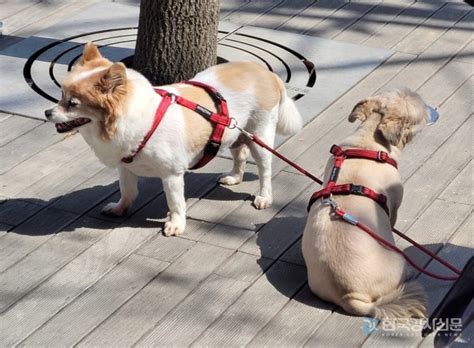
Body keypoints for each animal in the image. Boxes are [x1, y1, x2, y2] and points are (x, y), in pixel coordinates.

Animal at [46, 42, 302, 235]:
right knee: (240, 153)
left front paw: (176, 224)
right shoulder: (126, 167)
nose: (48, 112)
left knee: (264, 169)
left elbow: (175, 201)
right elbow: (127, 191)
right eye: (60, 95)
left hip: (260, 134)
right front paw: (120, 208)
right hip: (234, 131)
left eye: (72, 104)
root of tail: (268, 74)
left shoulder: (171, 175)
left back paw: (264, 196)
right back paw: (234, 177)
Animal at [302, 88, 438, 320]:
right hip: (397, 259)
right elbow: (392, 218)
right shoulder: (394, 202)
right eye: (421, 111)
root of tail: (350, 297)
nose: (434, 109)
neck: (368, 143)